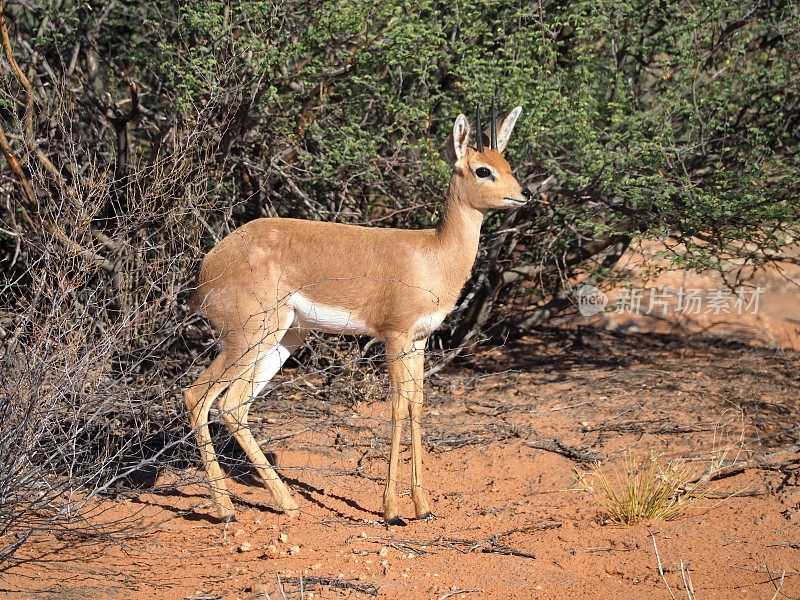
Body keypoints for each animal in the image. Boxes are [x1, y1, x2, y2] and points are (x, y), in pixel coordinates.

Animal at [184, 103, 528, 524]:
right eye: (482, 169)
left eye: (506, 163)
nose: (524, 194)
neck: (432, 254)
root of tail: (208, 266)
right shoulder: (394, 336)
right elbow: (397, 407)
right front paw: (391, 509)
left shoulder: (419, 340)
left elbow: (417, 406)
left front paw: (423, 507)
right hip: (246, 340)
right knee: (198, 396)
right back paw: (226, 510)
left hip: (283, 339)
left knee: (234, 406)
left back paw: (287, 503)